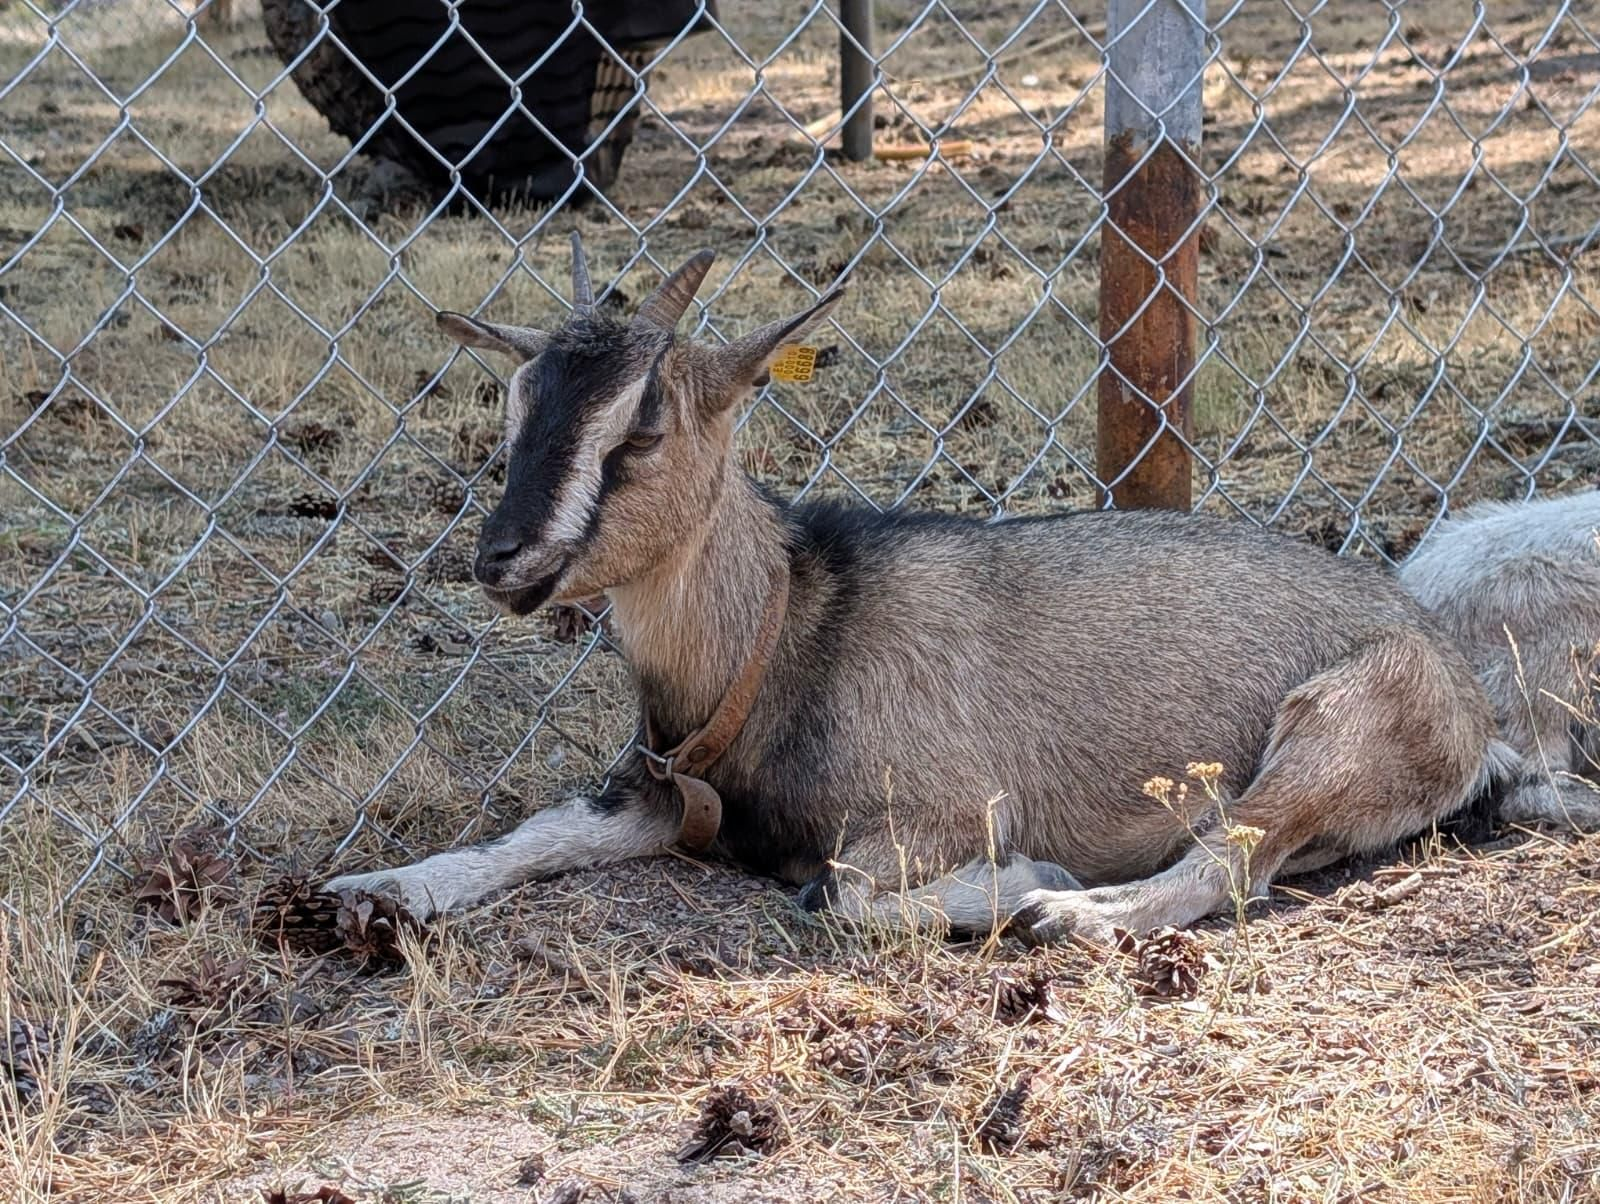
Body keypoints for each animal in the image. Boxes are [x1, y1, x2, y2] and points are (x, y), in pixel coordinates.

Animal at [326, 235, 1512, 944]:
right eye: (516, 404)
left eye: (644, 428)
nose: (501, 559)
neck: (789, 629)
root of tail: (1453, 676)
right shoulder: (662, 789)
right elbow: (533, 832)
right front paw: (376, 891)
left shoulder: (940, 807)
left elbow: (845, 896)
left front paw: (1018, 874)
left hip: (1343, 726)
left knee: (1231, 857)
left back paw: (1073, 911)